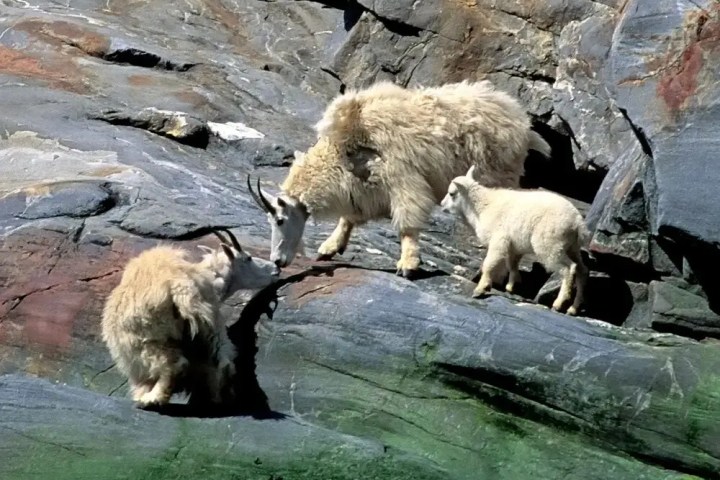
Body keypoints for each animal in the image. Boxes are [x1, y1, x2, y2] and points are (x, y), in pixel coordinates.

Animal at [100, 229, 279, 409]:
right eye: (248, 258)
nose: (276, 269)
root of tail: (180, 287)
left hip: (153, 337)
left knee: (171, 364)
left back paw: (152, 398)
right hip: (211, 326)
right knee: (222, 361)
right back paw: (213, 399)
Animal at [248, 80, 551, 277]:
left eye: (280, 220)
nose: (277, 261)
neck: (342, 151)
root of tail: (524, 126)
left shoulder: (403, 181)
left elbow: (407, 224)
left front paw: (407, 264)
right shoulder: (365, 191)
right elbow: (348, 219)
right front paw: (329, 248)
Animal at [441, 166, 589, 315]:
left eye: (452, 193)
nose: (442, 205)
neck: (481, 208)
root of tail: (577, 222)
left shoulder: (499, 240)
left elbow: (489, 264)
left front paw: (481, 289)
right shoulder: (514, 247)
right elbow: (512, 264)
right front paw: (511, 287)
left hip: (551, 244)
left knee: (568, 269)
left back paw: (558, 304)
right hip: (571, 246)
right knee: (582, 270)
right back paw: (574, 308)